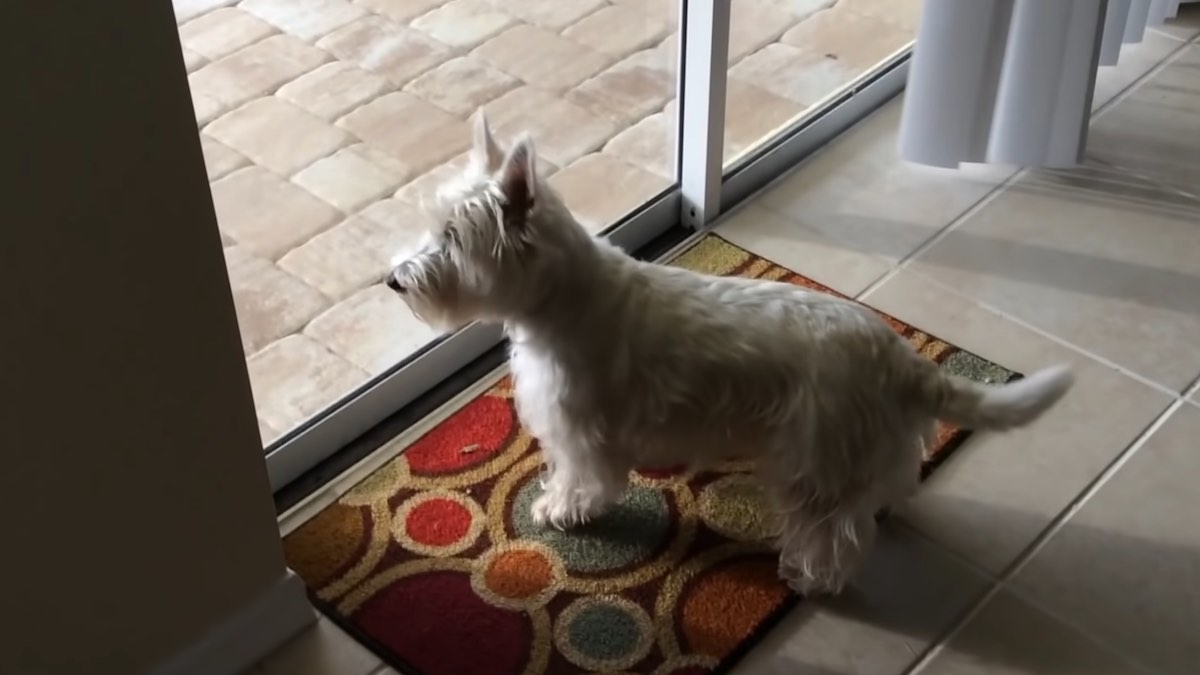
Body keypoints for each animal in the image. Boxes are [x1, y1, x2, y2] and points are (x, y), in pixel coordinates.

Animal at [379, 115, 1075, 593]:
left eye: (451, 238)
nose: (393, 281)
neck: (557, 302)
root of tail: (900, 360)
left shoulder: (583, 427)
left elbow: (583, 477)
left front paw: (558, 508)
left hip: (817, 454)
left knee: (834, 530)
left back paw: (809, 576)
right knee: (881, 489)